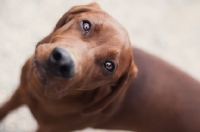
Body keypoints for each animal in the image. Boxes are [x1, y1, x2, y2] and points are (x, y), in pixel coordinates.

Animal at [0, 2, 200, 132]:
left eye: (109, 66)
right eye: (86, 24)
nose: (62, 62)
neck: (42, 95)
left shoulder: (50, 129)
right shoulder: (20, 91)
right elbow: (4, 109)